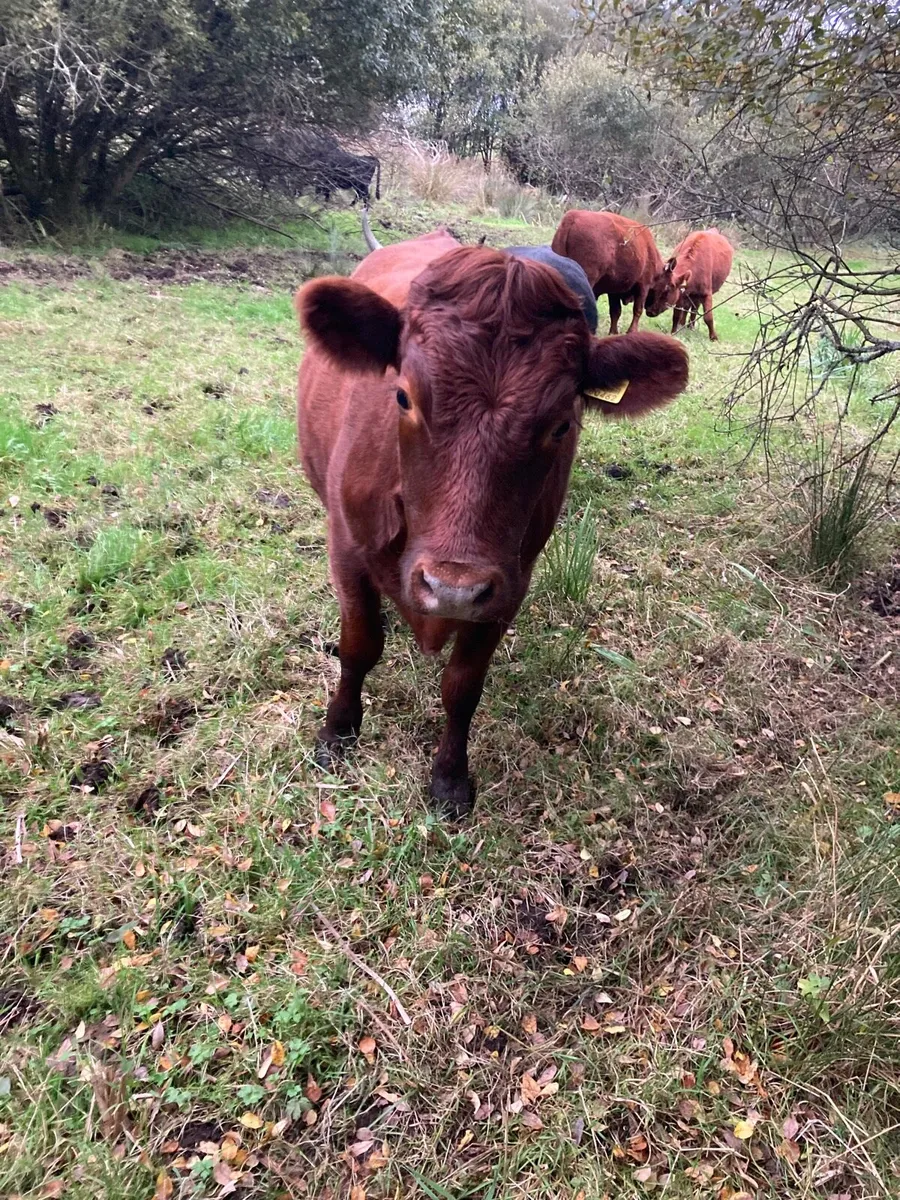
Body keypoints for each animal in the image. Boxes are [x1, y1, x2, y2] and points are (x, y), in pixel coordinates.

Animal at [296, 232, 689, 817]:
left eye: (561, 424)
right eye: (402, 396)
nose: (452, 588)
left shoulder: (508, 581)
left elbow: (463, 685)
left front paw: (450, 777)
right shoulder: (346, 545)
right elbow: (360, 646)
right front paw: (338, 731)